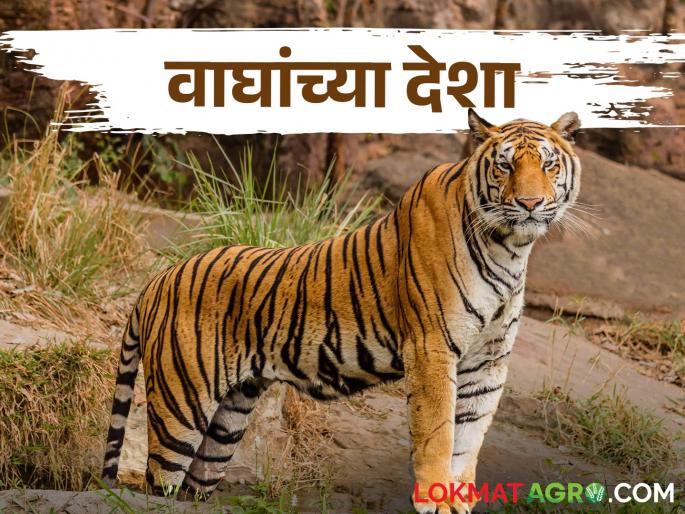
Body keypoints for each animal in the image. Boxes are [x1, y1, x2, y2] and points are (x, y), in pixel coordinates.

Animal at [102, 109, 581, 514]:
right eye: (505, 166)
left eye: (548, 165)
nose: (530, 204)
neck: (510, 248)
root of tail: (158, 279)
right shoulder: (432, 349)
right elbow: (438, 433)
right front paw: (436, 500)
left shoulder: (489, 361)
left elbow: (468, 437)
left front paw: (458, 500)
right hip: (180, 406)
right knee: (158, 481)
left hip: (228, 419)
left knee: (193, 484)